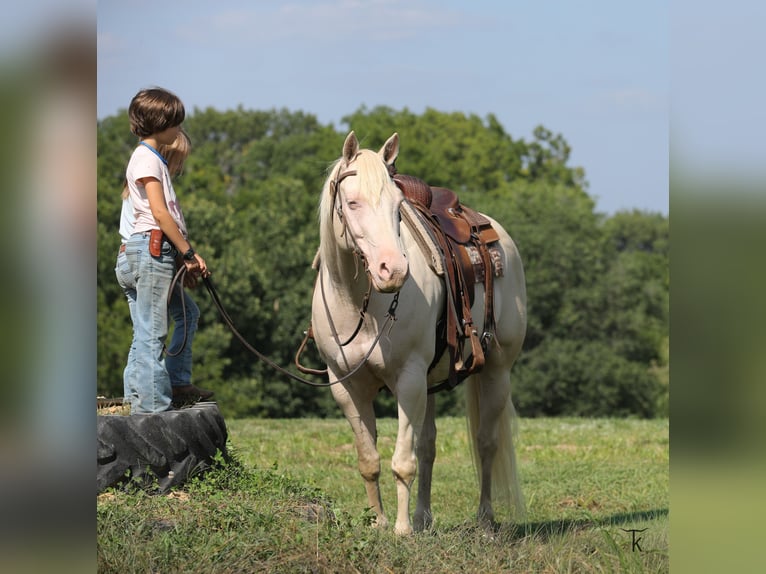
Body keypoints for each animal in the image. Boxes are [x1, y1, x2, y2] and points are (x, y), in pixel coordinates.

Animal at [311, 131, 527, 535]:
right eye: (352, 203)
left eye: (398, 207)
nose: (393, 270)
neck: (359, 304)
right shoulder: (347, 387)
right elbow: (370, 460)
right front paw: (379, 522)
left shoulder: (408, 378)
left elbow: (402, 462)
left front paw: (401, 529)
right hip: (430, 383)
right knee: (428, 445)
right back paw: (424, 517)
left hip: (497, 370)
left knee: (486, 443)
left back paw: (484, 519)